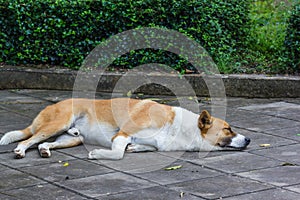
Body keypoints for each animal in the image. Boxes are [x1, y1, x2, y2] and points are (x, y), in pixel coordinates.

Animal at [0, 97, 251, 160]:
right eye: (228, 129)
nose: (248, 140)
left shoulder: (153, 144)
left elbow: (144, 148)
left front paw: (135, 149)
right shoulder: (122, 133)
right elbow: (118, 153)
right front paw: (98, 153)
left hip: (69, 138)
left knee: (42, 143)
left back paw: (44, 150)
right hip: (57, 124)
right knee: (27, 140)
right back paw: (20, 151)